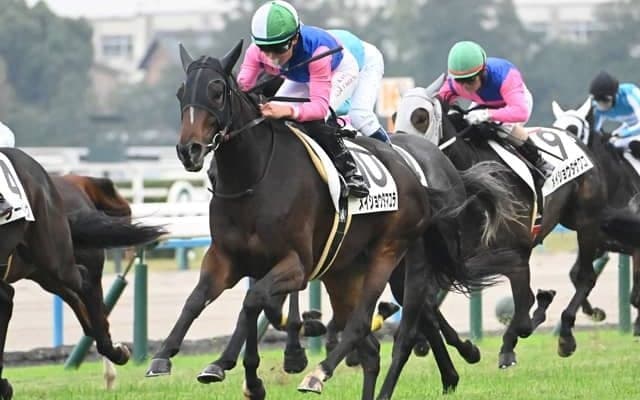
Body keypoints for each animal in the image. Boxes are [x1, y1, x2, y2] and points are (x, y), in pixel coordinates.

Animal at [146, 41, 521, 399]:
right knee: (375, 343)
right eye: (181, 92)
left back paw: (321, 374)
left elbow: (252, 303)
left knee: (373, 325)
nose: (189, 150)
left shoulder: (296, 264)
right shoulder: (226, 258)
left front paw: (254, 372)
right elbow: (200, 299)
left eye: (217, 90)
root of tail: (416, 177)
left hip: (391, 256)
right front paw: (165, 356)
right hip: (344, 271)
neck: (254, 177)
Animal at [393, 80, 628, 369]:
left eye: (420, 117)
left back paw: (565, 335)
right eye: (395, 115)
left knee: (584, 277)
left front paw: (507, 345)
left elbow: (523, 317)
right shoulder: (458, 258)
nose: (400, 151)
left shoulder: (514, 255)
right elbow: (429, 301)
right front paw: (467, 348)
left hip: (586, 222)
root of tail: (574, 138)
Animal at [552, 98, 640, 334]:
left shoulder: (636, 247)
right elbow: (576, 274)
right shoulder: (598, 240)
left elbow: (635, 294)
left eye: (573, 130)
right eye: (555, 126)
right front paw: (595, 312)